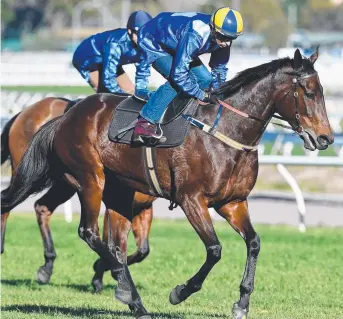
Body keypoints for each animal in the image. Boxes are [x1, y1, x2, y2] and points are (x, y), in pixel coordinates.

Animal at [0, 97, 153, 290]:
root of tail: (23, 113)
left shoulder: (143, 207)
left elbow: (142, 250)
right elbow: (112, 244)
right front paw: (100, 275)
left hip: (63, 184)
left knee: (41, 207)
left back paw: (47, 266)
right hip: (31, 174)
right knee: (9, 202)